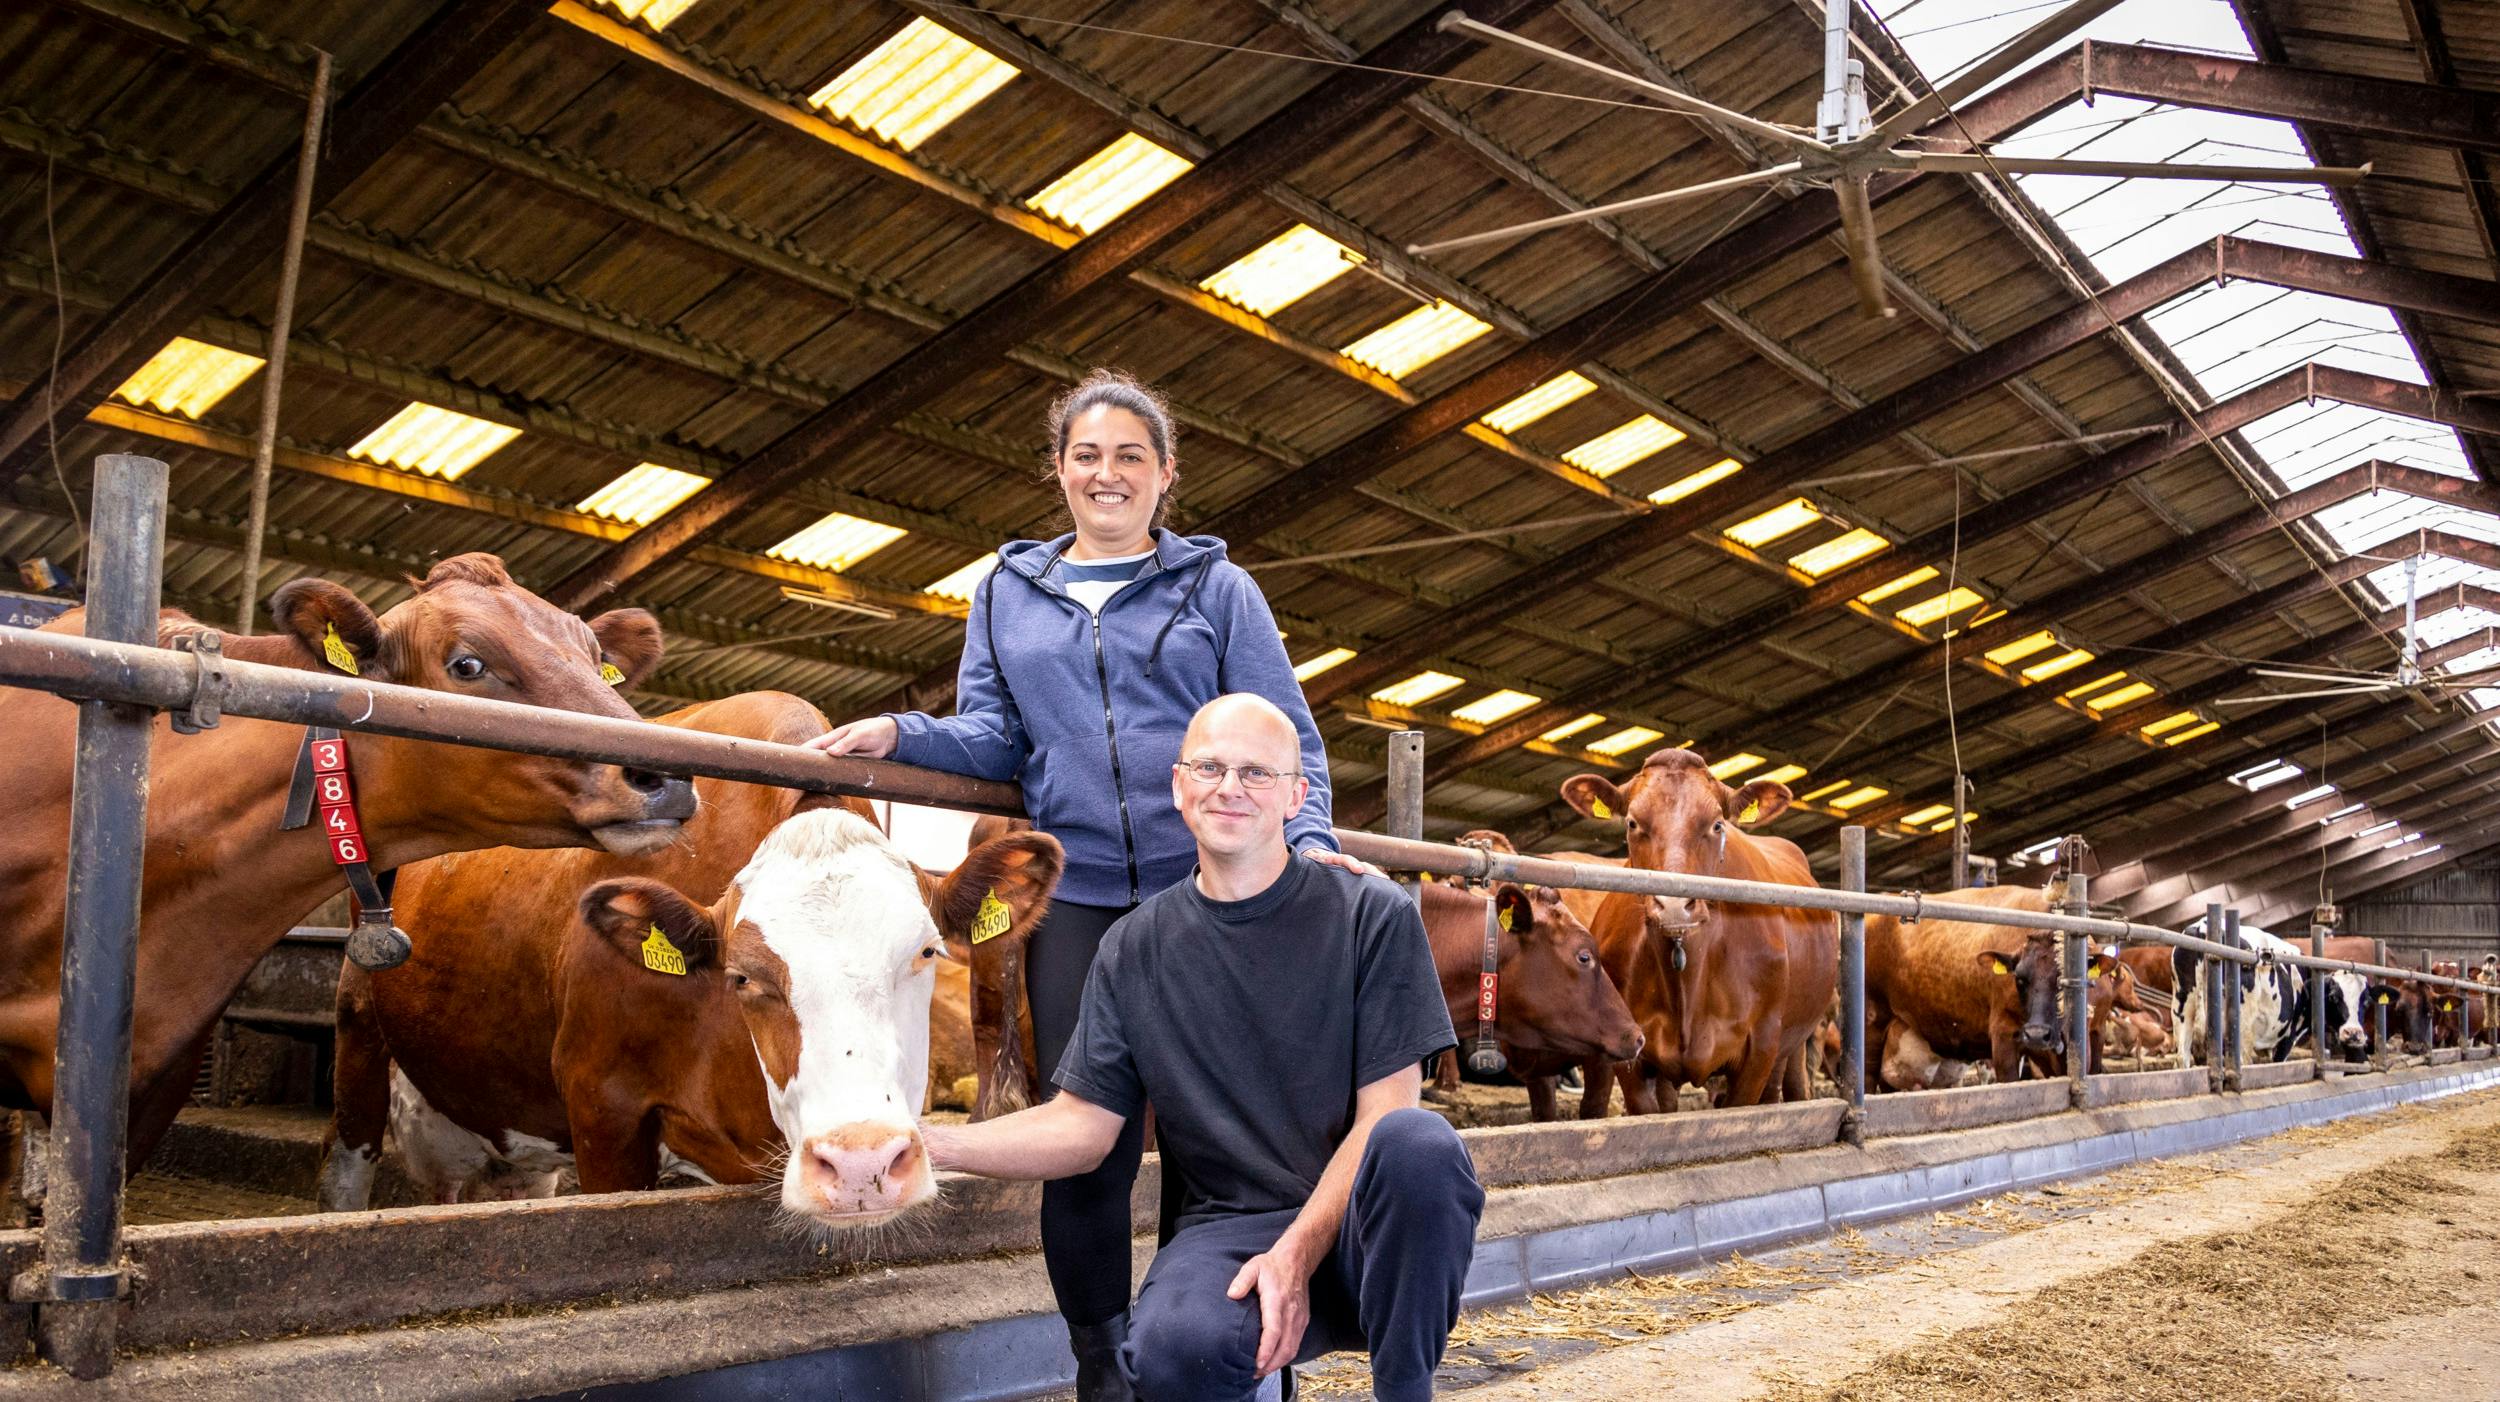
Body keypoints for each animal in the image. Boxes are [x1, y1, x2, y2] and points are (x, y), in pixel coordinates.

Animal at [1560, 749, 1840, 1109]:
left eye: (1717, 824)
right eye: (1632, 822)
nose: (1674, 905)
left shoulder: (1760, 1050)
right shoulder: (1628, 1051)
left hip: (1793, 1043)